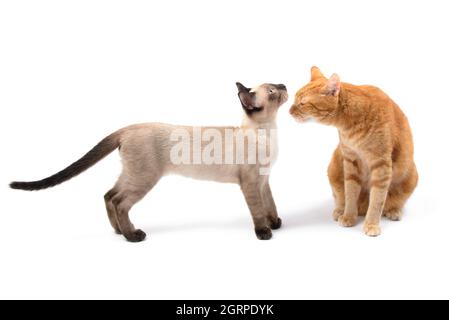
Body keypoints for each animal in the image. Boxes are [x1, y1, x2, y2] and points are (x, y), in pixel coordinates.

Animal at [11, 82, 290, 242]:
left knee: (109, 195)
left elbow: (271, 205)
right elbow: (258, 211)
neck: (269, 132)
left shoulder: (264, 181)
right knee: (120, 202)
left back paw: (118, 232)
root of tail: (129, 127)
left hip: (132, 174)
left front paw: (275, 224)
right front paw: (264, 232)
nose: (284, 83)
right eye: (273, 91)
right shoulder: (250, 183)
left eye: (276, 85)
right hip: (144, 178)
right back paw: (133, 235)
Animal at [288, 67, 418, 236]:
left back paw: (394, 211)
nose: (289, 111)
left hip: (411, 176)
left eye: (302, 103)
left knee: (395, 202)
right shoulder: (350, 160)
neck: (350, 124)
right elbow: (350, 193)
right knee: (340, 198)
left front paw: (371, 224)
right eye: (294, 99)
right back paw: (339, 211)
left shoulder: (381, 163)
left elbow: (377, 199)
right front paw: (349, 216)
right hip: (333, 169)